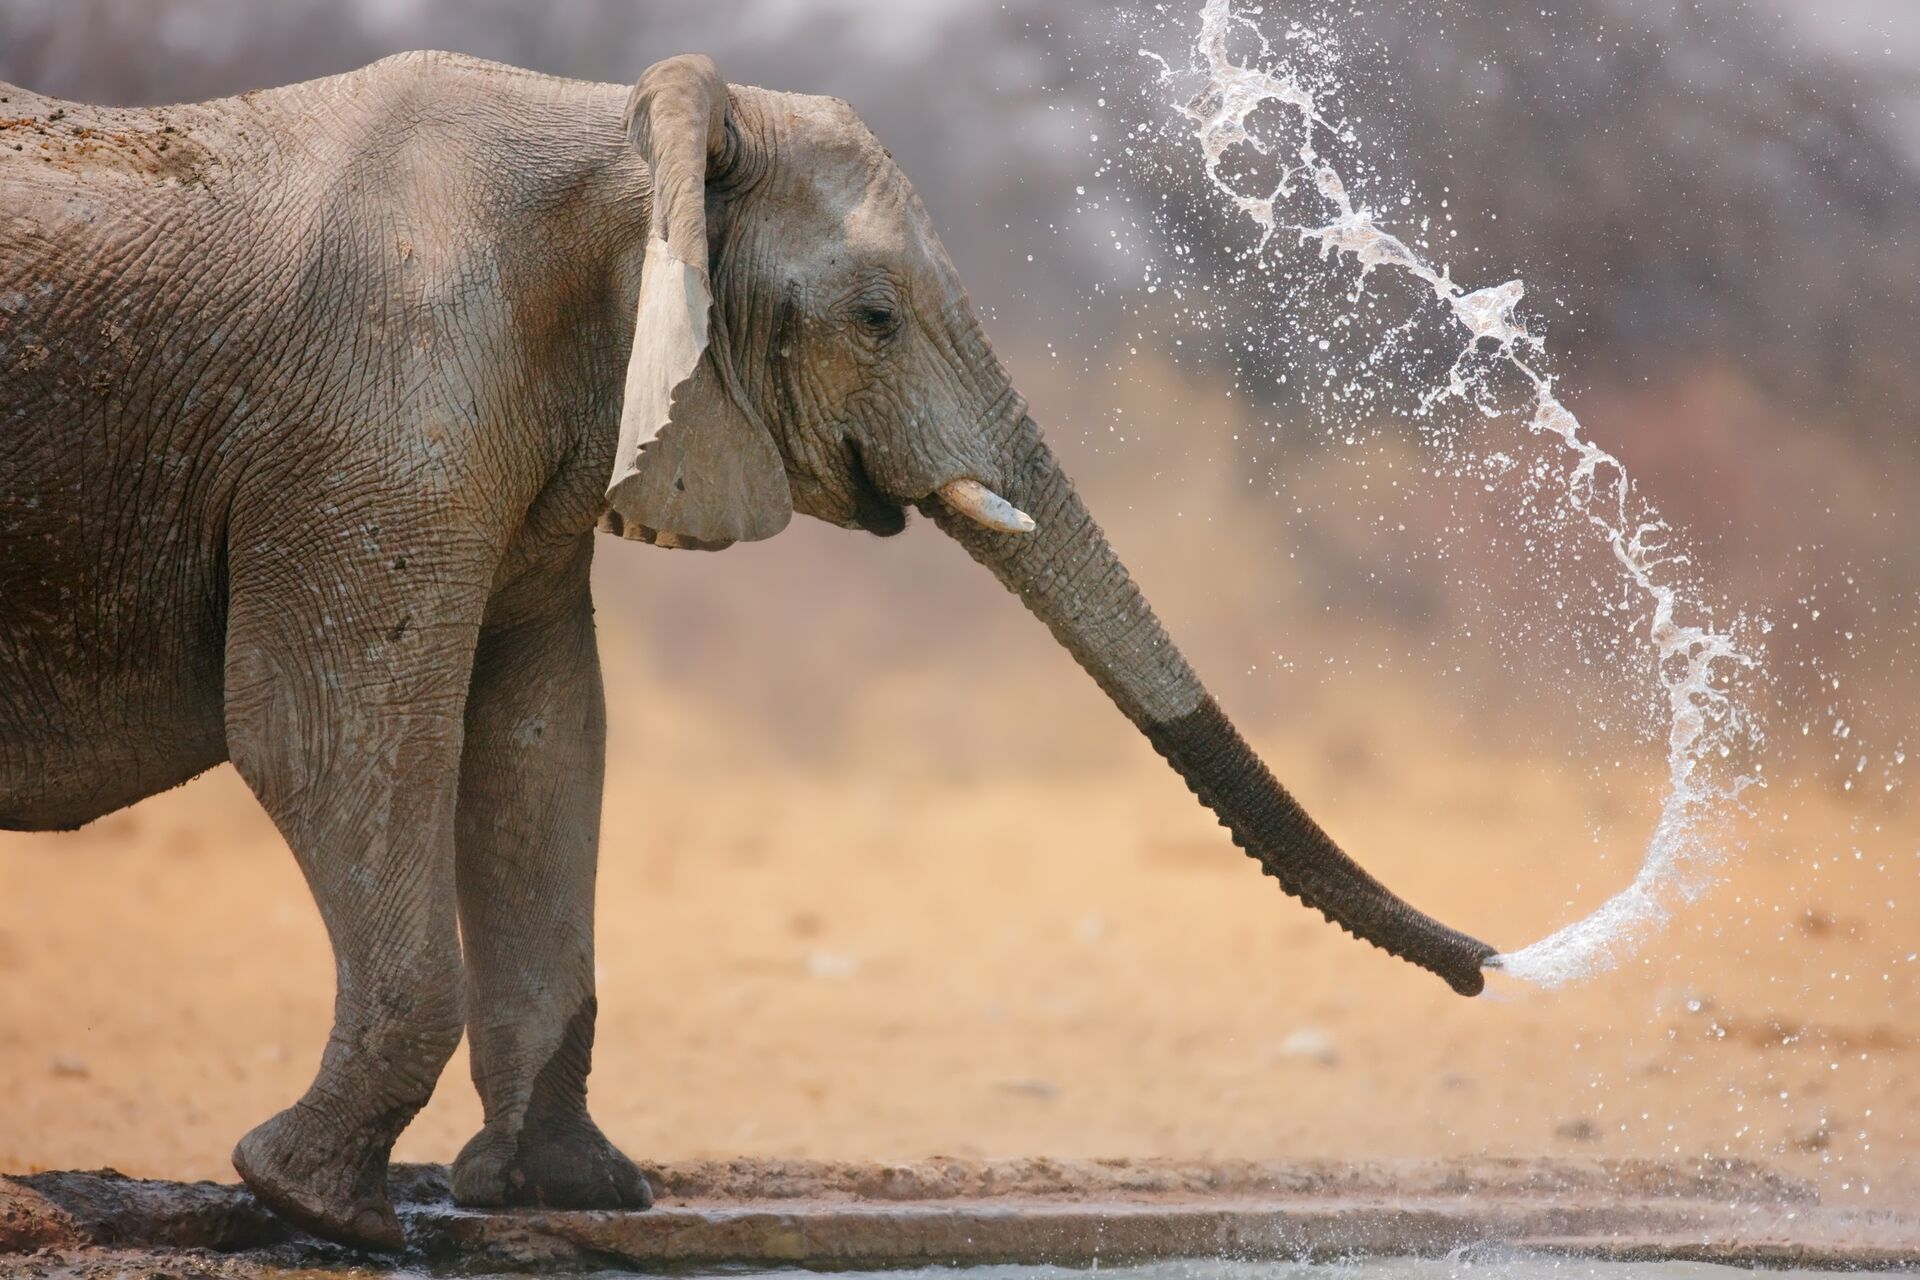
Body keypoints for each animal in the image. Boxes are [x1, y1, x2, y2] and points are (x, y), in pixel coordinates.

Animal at [0, 50, 1496, 1249]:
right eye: (877, 319)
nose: (1489, 967)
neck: (625, 128)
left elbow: (541, 734)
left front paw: (573, 1194)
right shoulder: (379, 415)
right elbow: (329, 732)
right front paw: (318, 1206)